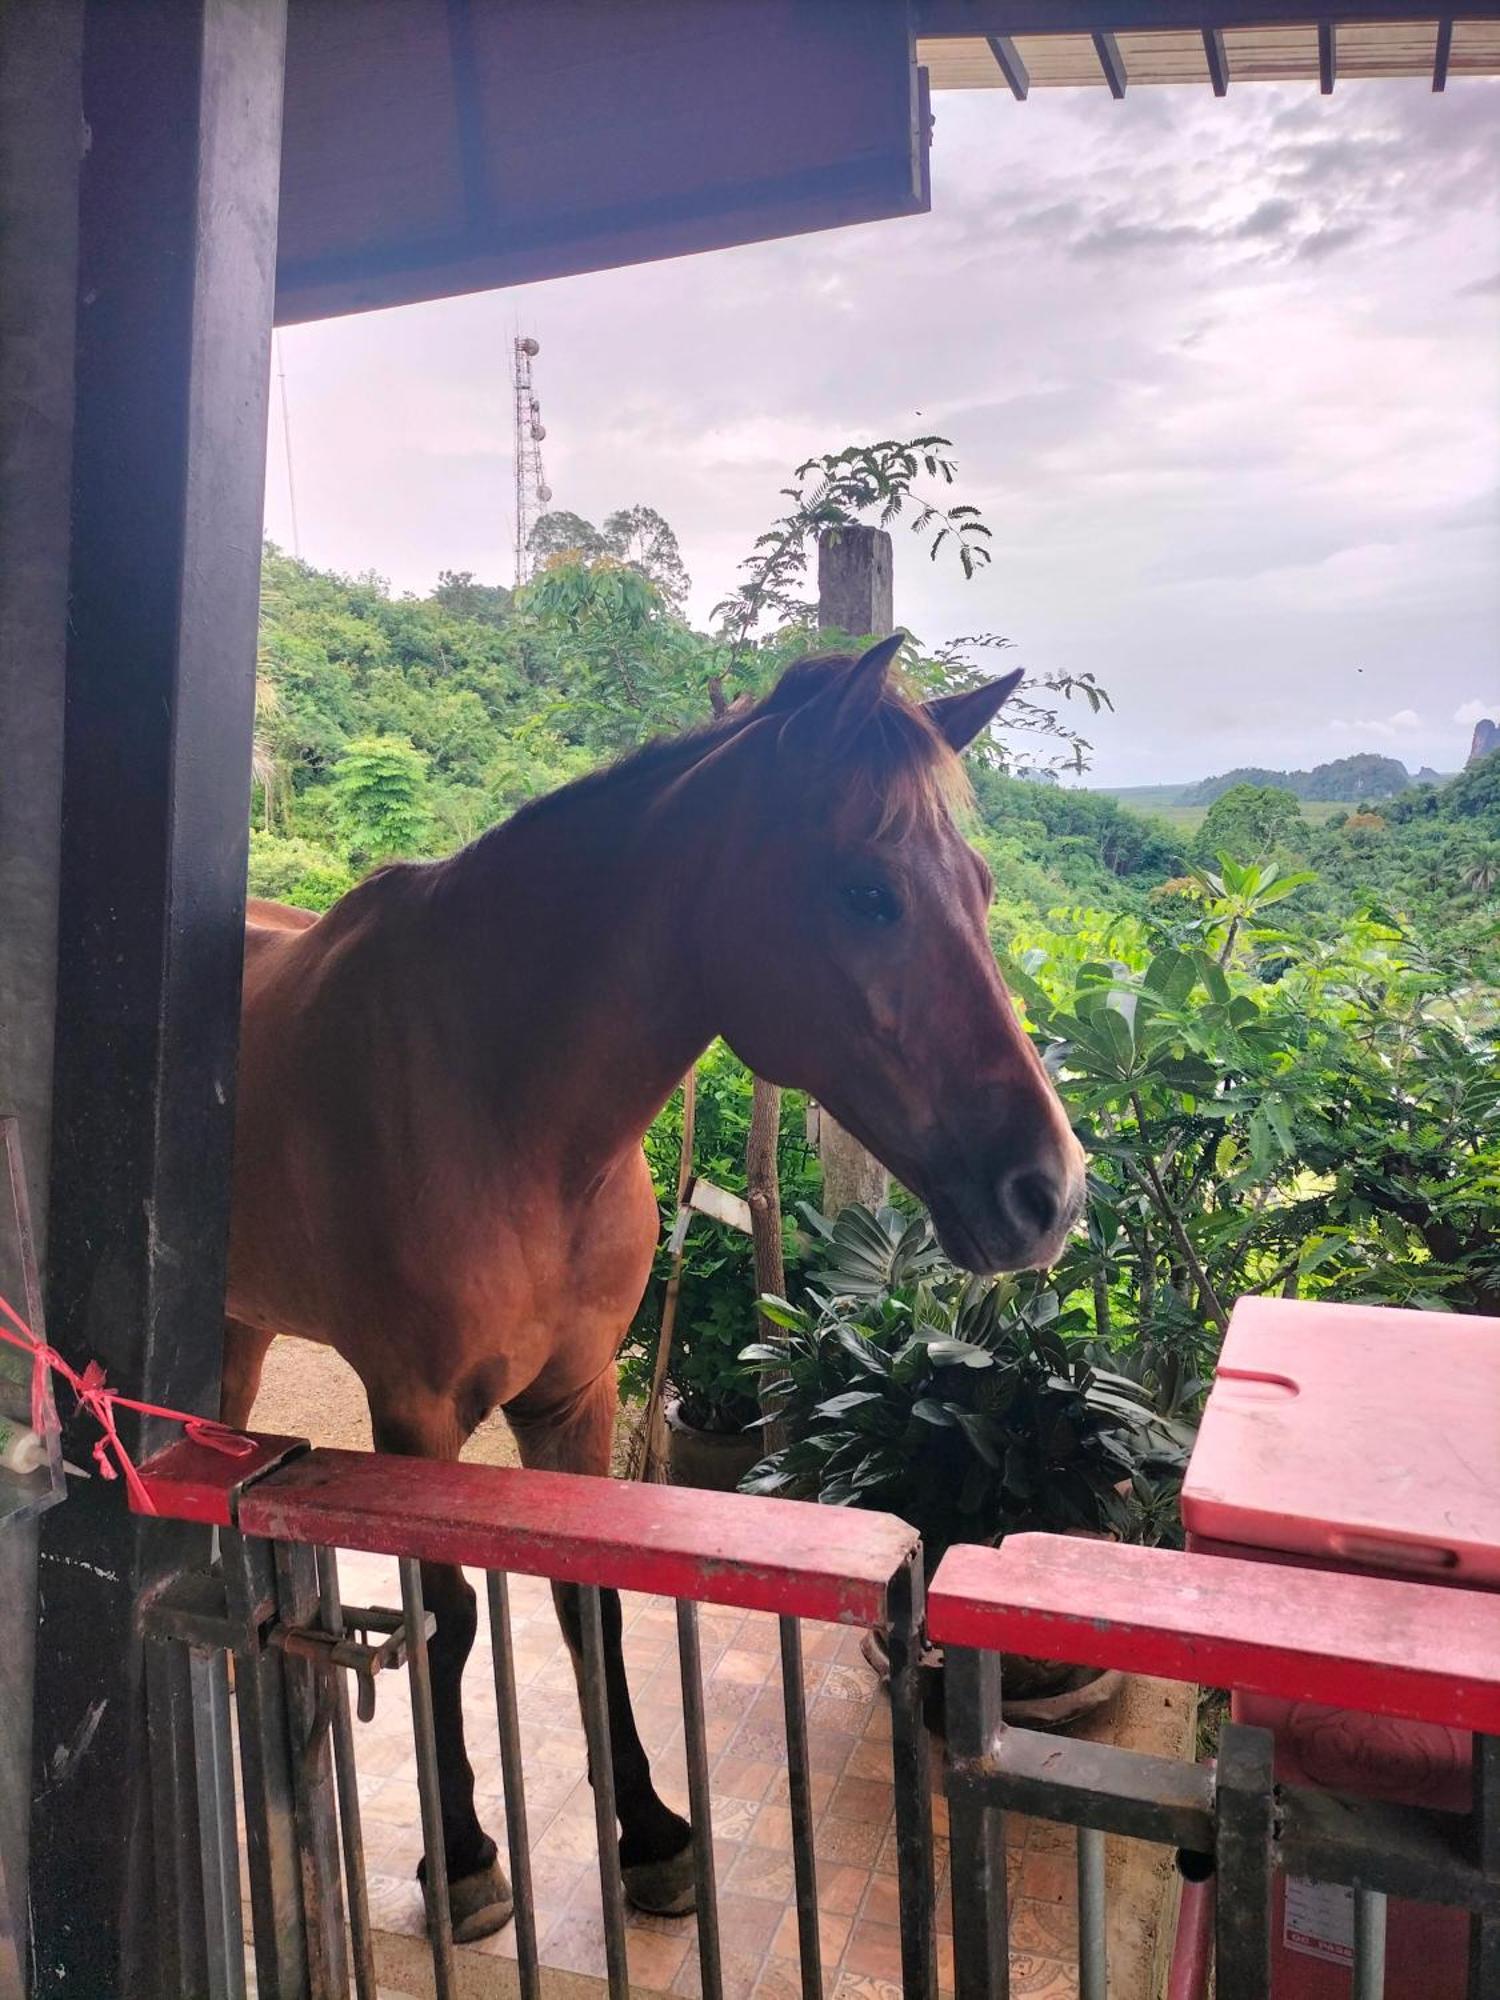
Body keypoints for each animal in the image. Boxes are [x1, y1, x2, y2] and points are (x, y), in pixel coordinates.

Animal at [223, 640, 1088, 1936]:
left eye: (980, 889)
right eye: (867, 891)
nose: (1051, 1190)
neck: (495, 1094)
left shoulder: (573, 1395)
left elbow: (594, 1600)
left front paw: (651, 1831)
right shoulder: (415, 1413)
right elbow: (447, 1615)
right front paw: (462, 1854)